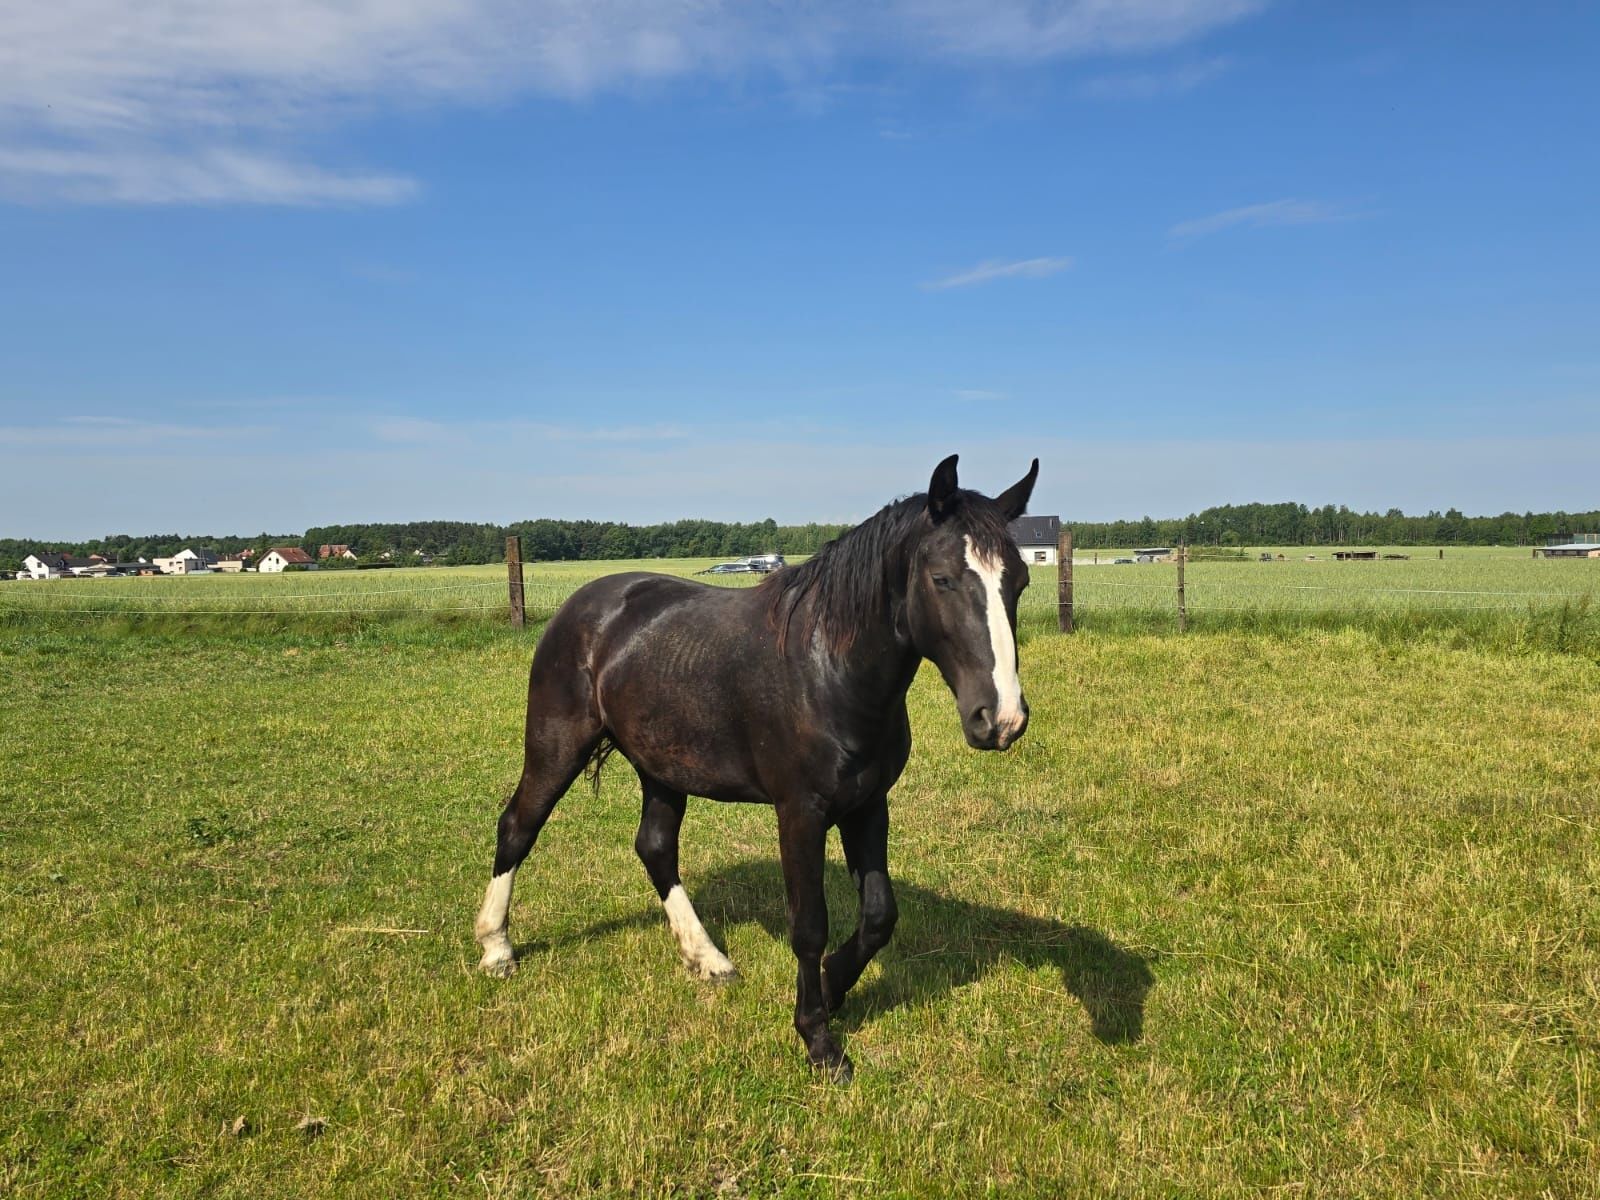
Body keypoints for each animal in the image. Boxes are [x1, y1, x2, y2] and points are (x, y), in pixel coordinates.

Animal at [470, 454, 1049, 1088]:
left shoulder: (868, 805)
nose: (1001, 719)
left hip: (662, 767)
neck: (829, 668)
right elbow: (809, 925)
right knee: (518, 828)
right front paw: (819, 1040)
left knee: (655, 847)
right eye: (942, 578)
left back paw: (708, 958)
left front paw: (832, 988)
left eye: (1019, 581)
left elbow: (879, 915)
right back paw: (496, 948)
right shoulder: (800, 813)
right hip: (557, 747)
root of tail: (585, 604)